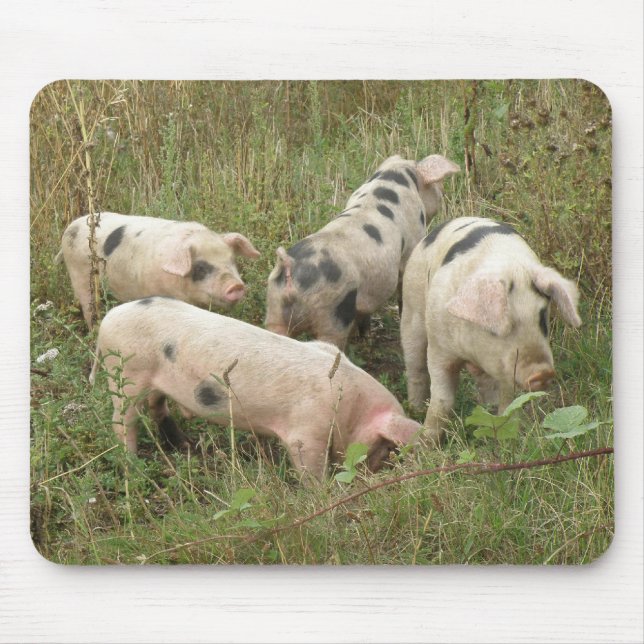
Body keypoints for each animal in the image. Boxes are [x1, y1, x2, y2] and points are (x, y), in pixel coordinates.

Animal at [89, 296, 421, 481]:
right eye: (385, 447)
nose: (371, 474)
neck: (350, 406)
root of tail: (108, 319)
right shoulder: (306, 432)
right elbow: (310, 469)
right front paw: (321, 493)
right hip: (127, 375)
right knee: (123, 421)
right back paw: (133, 465)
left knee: (157, 407)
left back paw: (185, 446)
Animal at [265, 154, 460, 348]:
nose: (442, 192)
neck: (395, 176)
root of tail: (289, 266)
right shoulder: (412, 242)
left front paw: (366, 336)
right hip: (333, 311)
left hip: (274, 307)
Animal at [400, 216, 582, 444]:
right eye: (500, 327)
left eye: (542, 319)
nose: (542, 372)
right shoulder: (439, 347)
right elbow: (442, 399)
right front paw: (424, 443)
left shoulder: (504, 367)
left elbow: (508, 401)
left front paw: (506, 438)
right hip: (412, 307)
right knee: (415, 366)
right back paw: (414, 409)